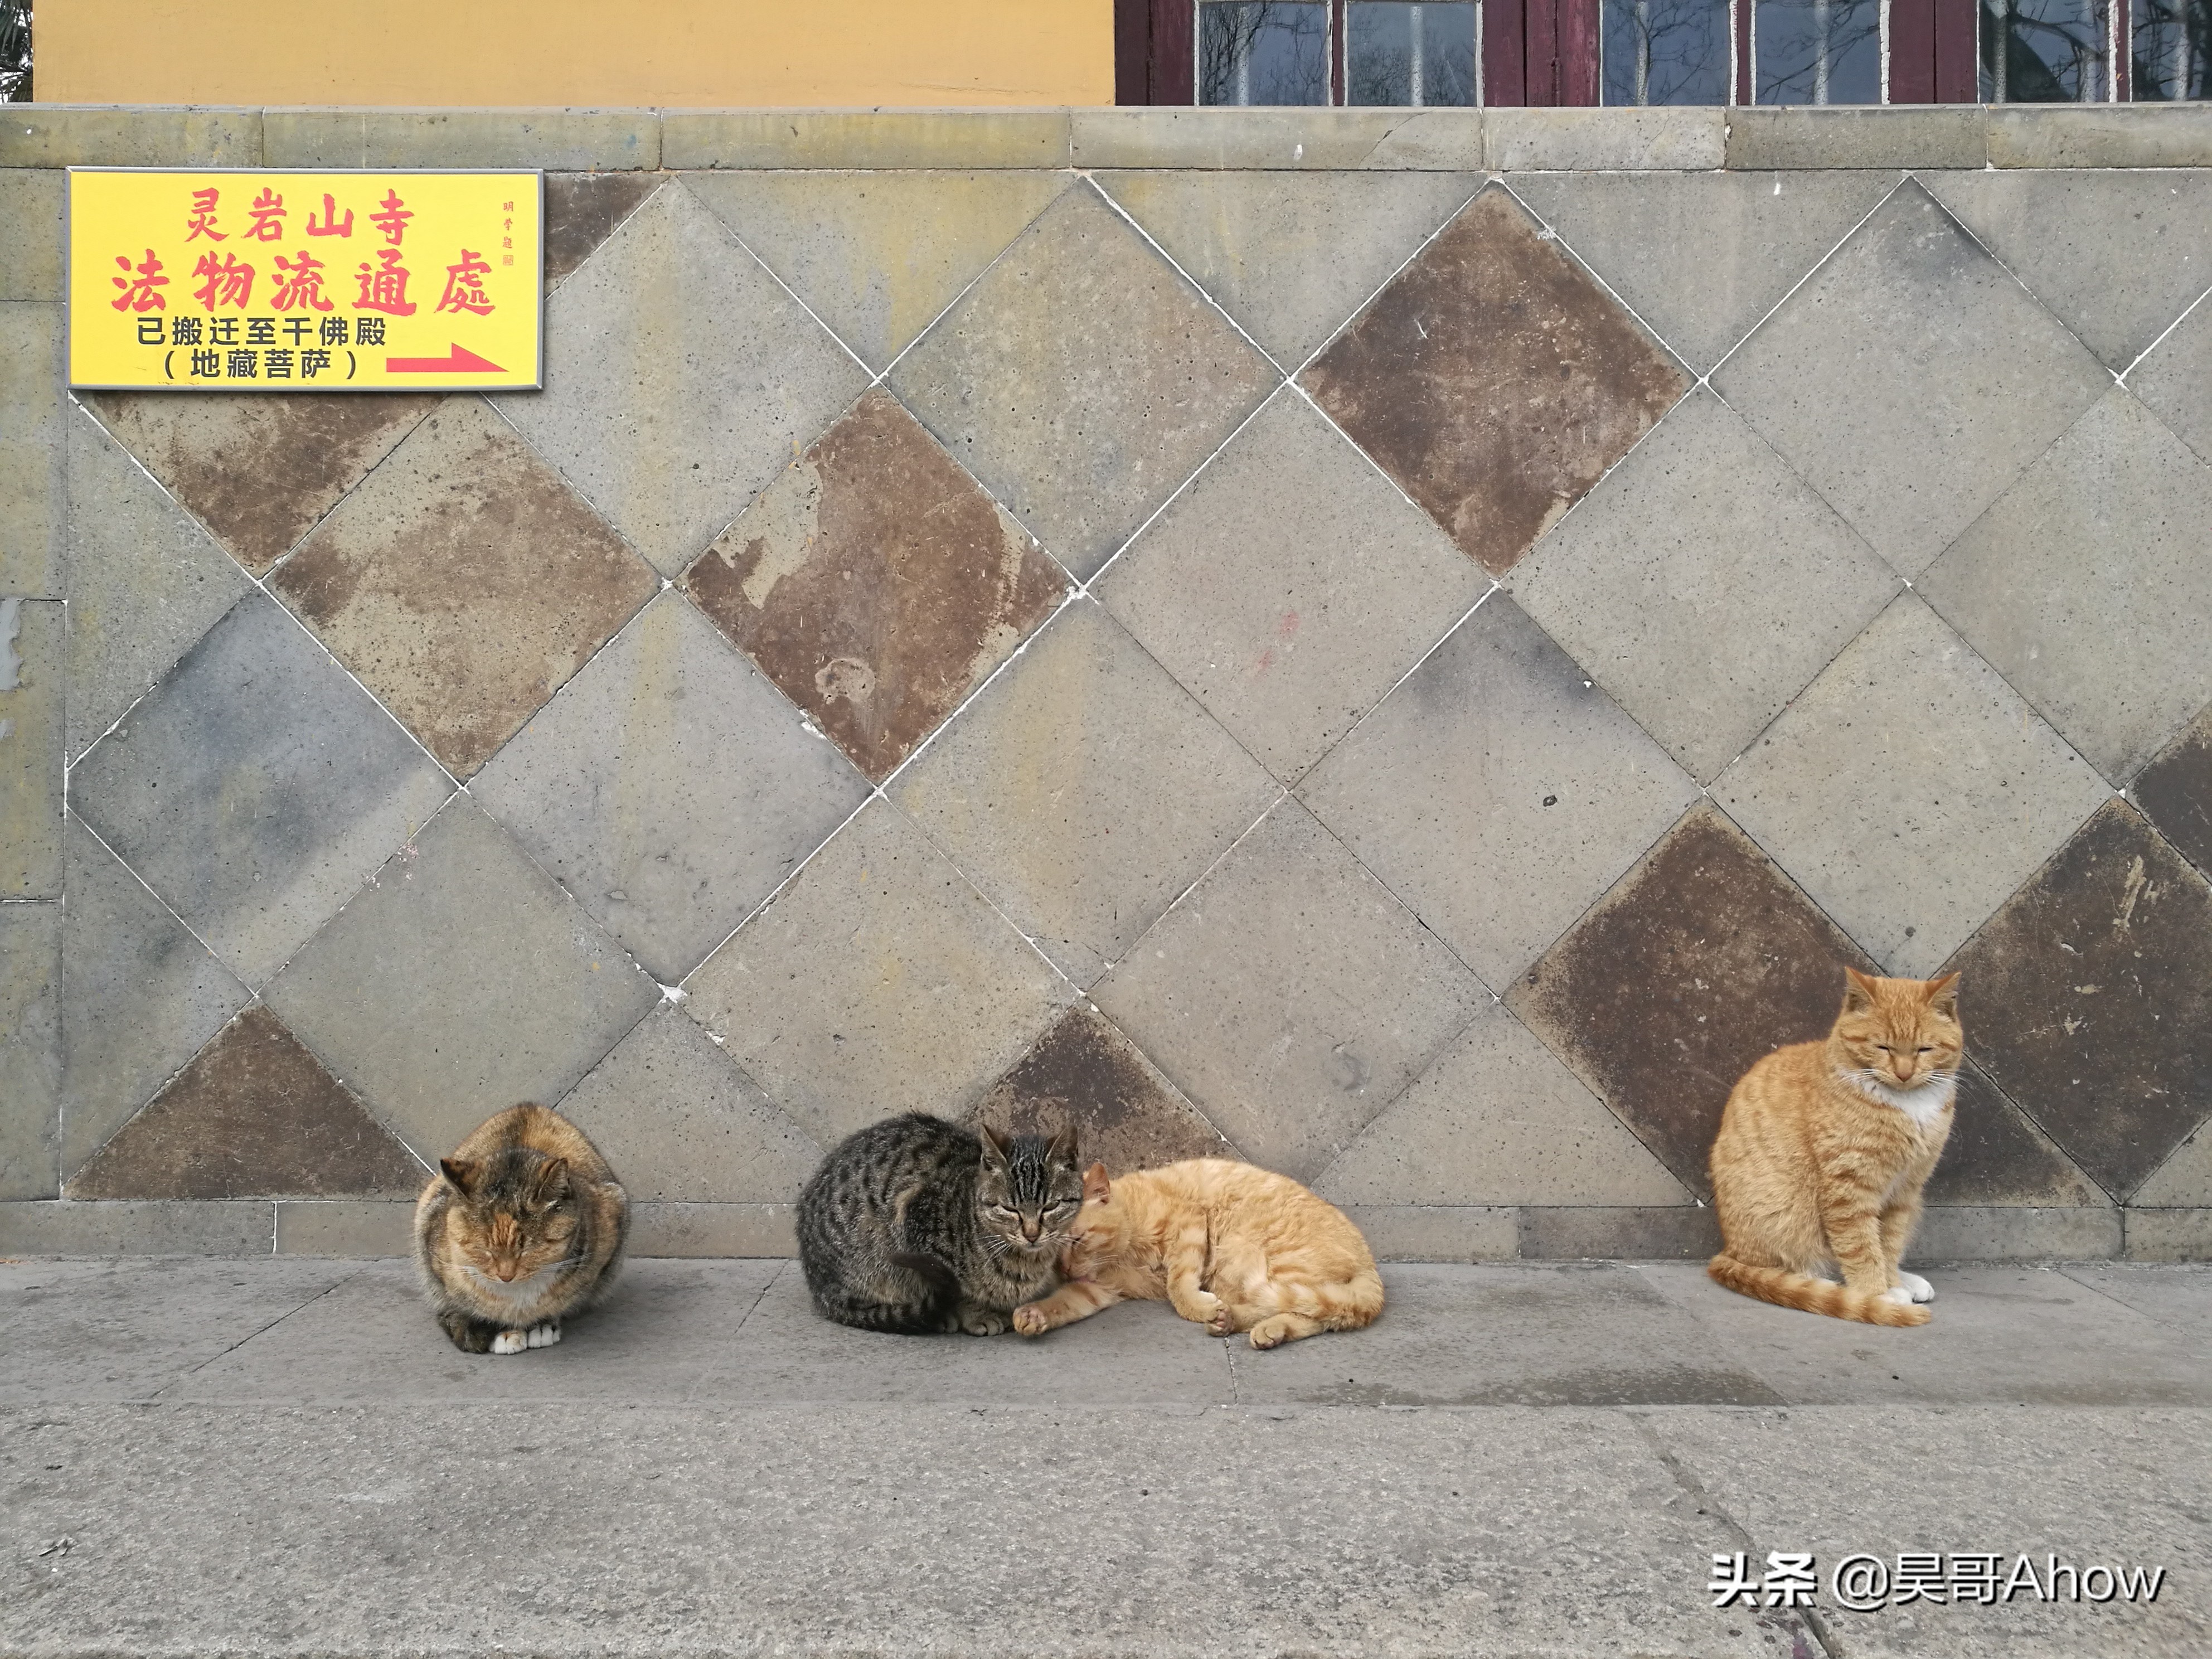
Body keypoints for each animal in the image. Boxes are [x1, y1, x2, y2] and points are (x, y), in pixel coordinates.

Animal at [801, 1119, 1084, 1336]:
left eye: (1051, 1206)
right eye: (1010, 1209)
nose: (1032, 1234)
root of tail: (818, 1287)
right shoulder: (915, 1221)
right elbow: (957, 1289)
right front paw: (976, 1315)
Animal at [1008, 1159, 1380, 1354]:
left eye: (1077, 1240)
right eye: (1049, 1254)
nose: (1069, 1272)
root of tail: (1369, 1262)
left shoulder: (1187, 1225)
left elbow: (1178, 1286)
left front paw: (1197, 1307)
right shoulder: (1097, 1289)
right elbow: (1063, 1303)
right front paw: (1034, 1316)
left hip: (1261, 1258)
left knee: (1305, 1310)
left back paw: (1246, 1322)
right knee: (1320, 1315)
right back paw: (1233, 1321)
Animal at [1699, 968, 1964, 1336]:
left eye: (1925, 1049)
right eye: (1882, 1047)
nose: (1904, 1073)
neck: (1907, 1105)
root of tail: (1729, 1251)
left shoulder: (1906, 1190)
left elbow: (1889, 1244)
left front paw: (1892, 1282)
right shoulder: (1847, 1188)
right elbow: (1861, 1248)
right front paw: (1877, 1295)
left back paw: (1905, 1281)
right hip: (1788, 1214)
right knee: (1795, 1268)